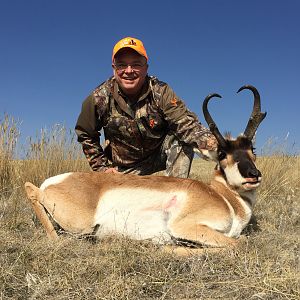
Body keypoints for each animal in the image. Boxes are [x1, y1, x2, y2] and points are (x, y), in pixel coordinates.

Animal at [24, 85, 266, 255]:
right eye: (223, 153)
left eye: (252, 148)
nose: (253, 175)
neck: (223, 196)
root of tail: (52, 182)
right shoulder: (185, 226)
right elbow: (239, 244)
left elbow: (242, 240)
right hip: (79, 224)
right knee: (31, 190)